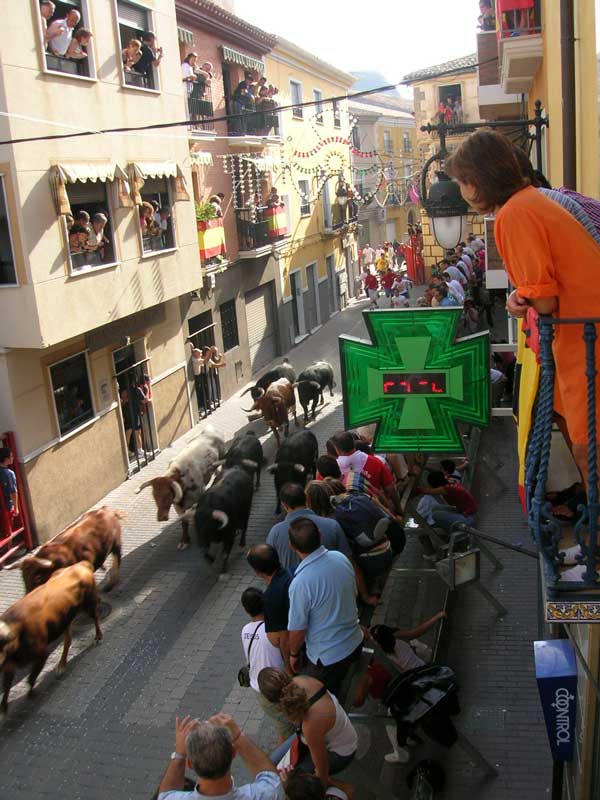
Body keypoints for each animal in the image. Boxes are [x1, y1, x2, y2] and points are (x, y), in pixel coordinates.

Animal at [0, 560, 102, 716]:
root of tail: (80, 565)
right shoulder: (9, 665)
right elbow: (6, 687)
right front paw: (3, 709)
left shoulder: (42, 654)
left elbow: (31, 678)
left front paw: (30, 694)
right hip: (64, 619)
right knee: (68, 639)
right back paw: (61, 665)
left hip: (88, 603)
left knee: (95, 616)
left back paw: (98, 636)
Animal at [135, 424, 225, 552]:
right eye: (154, 497)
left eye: (167, 495)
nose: (161, 518)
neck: (180, 477)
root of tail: (209, 428)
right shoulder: (178, 507)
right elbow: (184, 522)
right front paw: (185, 540)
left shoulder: (199, 496)